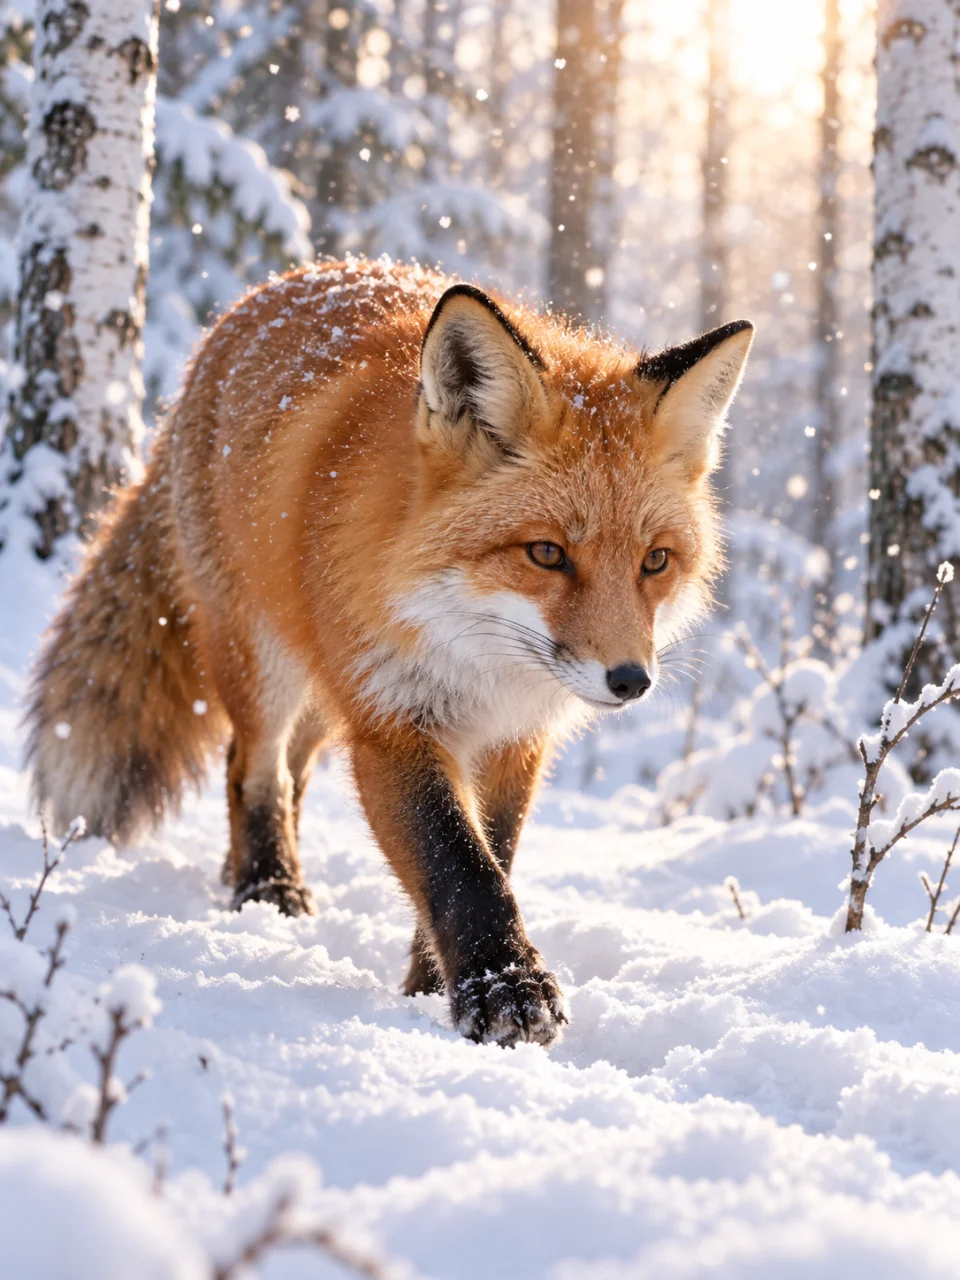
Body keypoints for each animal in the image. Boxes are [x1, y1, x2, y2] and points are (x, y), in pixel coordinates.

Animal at [25, 257, 753, 1047]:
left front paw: (430, 984)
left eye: (655, 562)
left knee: (289, 777)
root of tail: (252, 301)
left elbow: (493, 852)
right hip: (268, 663)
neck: (479, 661)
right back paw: (268, 888)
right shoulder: (392, 722)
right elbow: (458, 863)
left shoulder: (512, 739)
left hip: (324, 686)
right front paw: (504, 990)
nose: (630, 681)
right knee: (251, 769)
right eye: (546, 553)